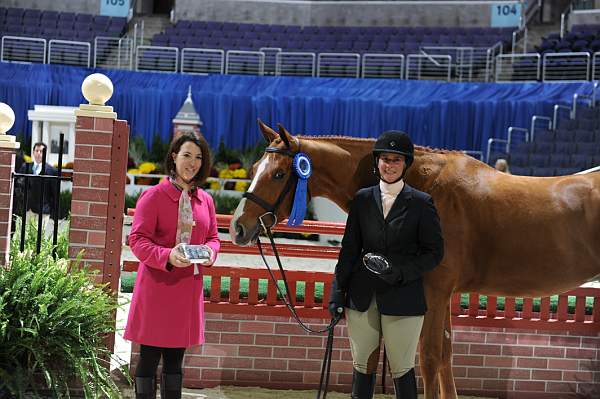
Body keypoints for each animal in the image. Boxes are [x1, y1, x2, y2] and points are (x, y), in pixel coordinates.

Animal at [230, 122, 600, 399]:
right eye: (254, 168)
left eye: (279, 174)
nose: (238, 226)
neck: (423, 183)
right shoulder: (442, 295)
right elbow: (446, 356)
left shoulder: (433, 291)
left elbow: (430, 358)